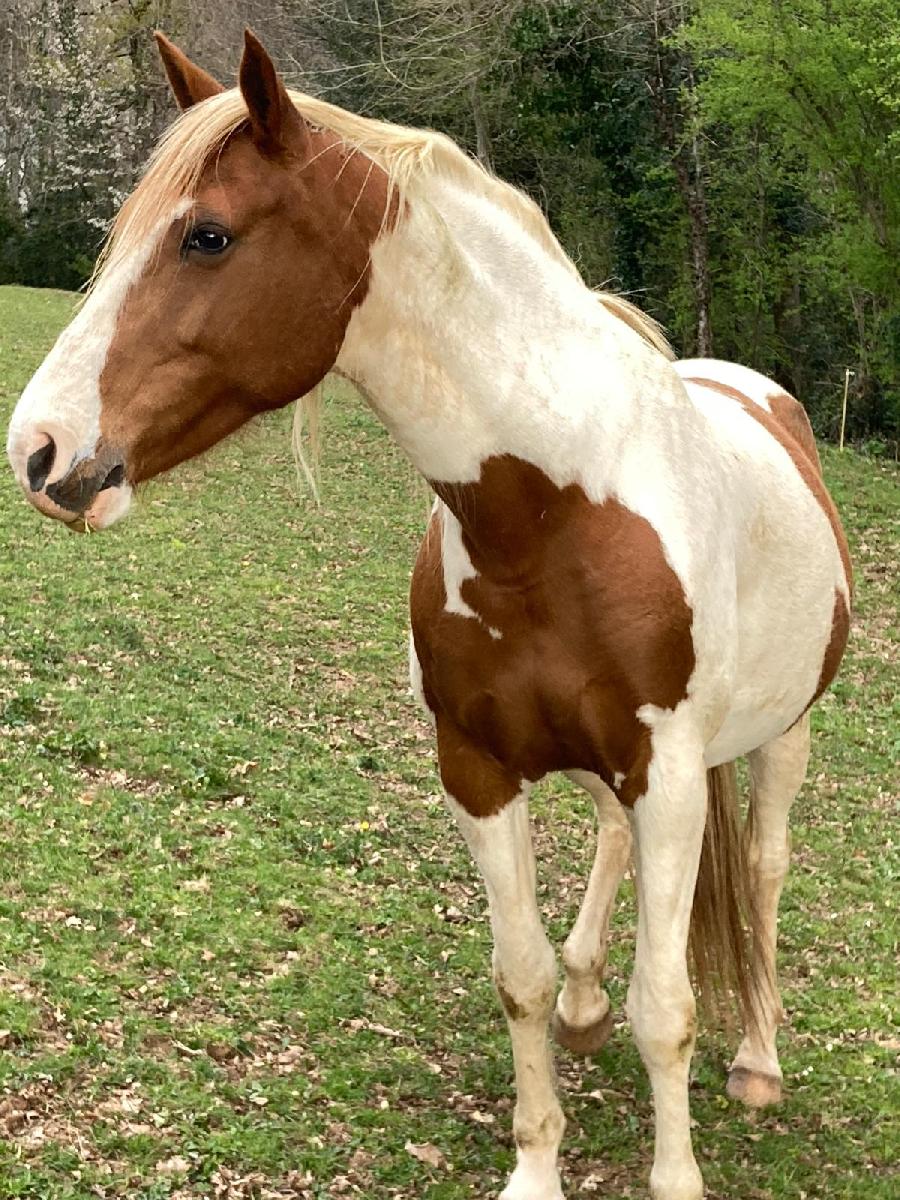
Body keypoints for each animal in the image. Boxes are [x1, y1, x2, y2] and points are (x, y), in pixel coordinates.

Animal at [5, 31, 851, 1200]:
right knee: (607, 851)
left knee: (764, 873)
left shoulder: (672, 775)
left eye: (206, 236)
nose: (38, 449)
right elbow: (521, 976)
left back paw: (760, 1060)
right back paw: (589, 993)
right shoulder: (479, 770)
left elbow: (668, 1008)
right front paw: (537, 1159)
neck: (559, 511)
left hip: (783, 738)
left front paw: (675, 1172)